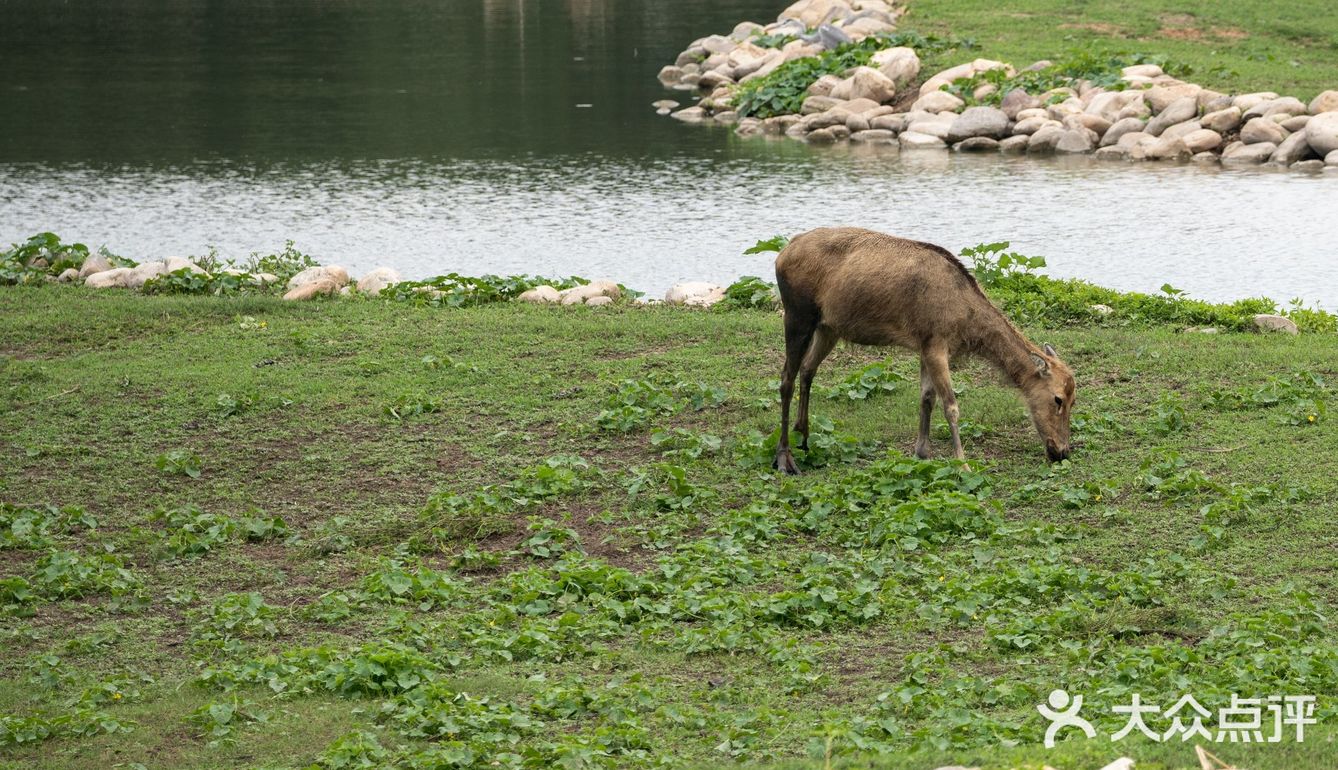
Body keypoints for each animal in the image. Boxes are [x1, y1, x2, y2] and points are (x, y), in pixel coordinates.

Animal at [772, 227, 1076, 475]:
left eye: (1074, 400)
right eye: (1058, 399)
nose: (1061, 451)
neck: (966, 322)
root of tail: (780, 255)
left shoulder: (924, 345)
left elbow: (926, 398)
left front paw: (922, 452)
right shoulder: (936, 342)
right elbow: (951, 406)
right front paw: (962, 463)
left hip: (828, 327)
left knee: (808, 370)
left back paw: (804, 436)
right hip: (797, 313)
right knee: (786, 378)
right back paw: (784, 457)